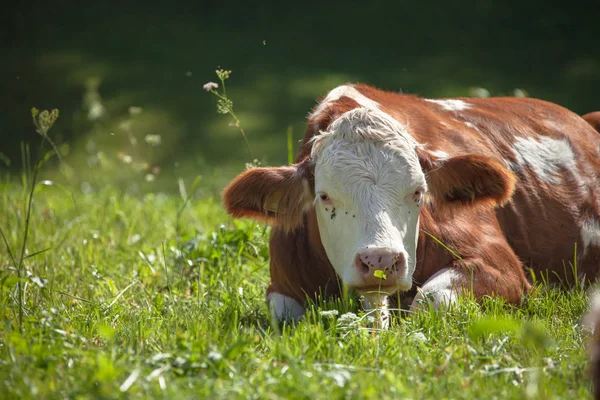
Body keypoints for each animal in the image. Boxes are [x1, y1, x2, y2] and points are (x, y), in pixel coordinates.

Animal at [221, 83, 600, 326]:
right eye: (324, 195)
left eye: (418, 192)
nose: (380, 260)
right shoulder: (282, 285)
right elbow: (288, 316)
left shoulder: (502, 266)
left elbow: (429, 300)